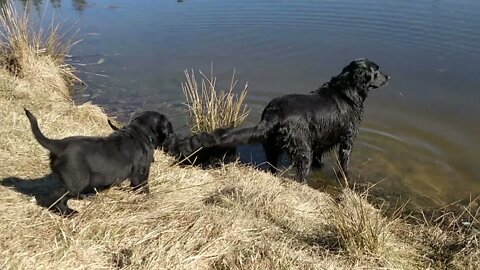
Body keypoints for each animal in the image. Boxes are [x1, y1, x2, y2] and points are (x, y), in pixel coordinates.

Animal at [24, 108, 173, 215]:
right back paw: (68, 212)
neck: (140, 132)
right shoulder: (141, 172)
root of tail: (59, 145)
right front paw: (148, 198)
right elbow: (143, 186)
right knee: (58, 196)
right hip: (77, 180)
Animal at [221, 58, 390, 182]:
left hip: (272, 147)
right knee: (301, 174)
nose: (388, 77)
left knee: (273, 167)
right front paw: (345, 177)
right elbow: (344, 163)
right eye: (376, 71)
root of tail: (274, 112)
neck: (347, 90)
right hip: (302, 149)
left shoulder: (321, 139)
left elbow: (318, 159)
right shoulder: (347, 139)